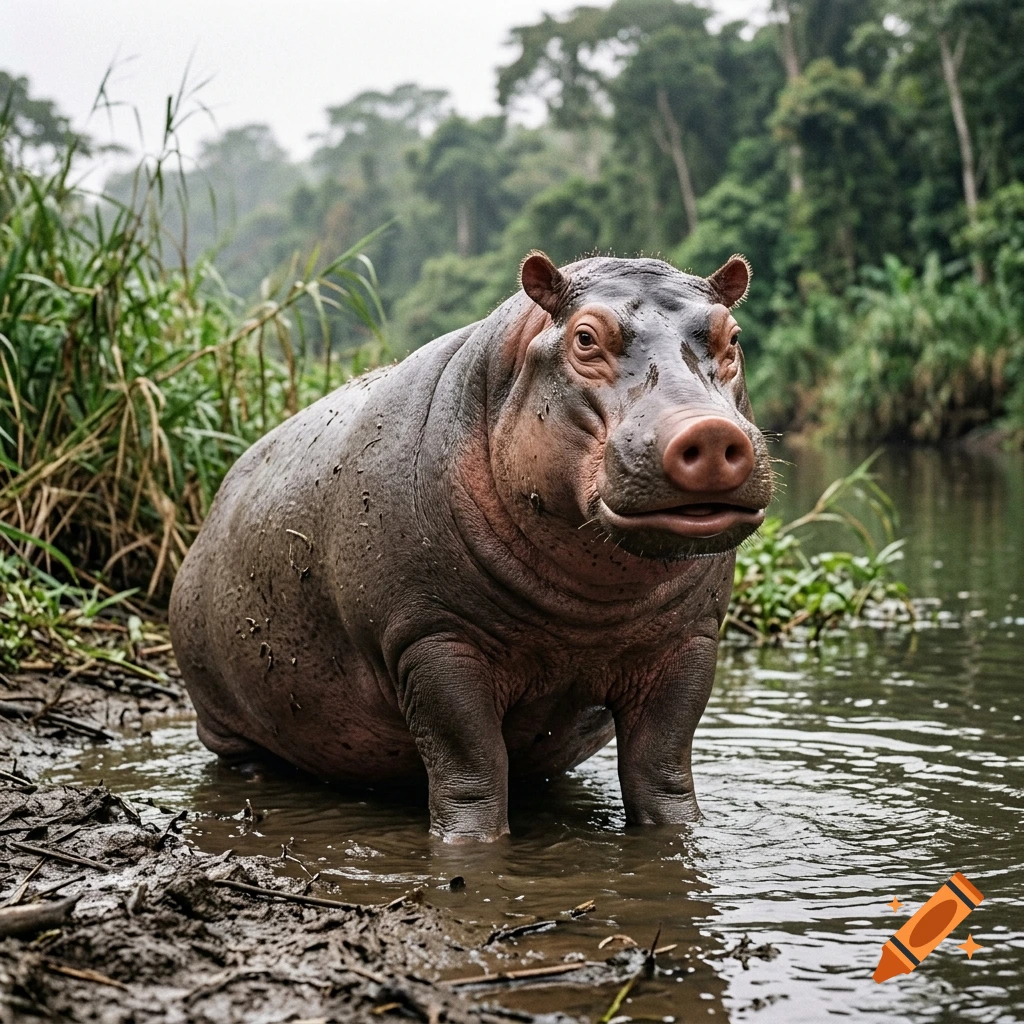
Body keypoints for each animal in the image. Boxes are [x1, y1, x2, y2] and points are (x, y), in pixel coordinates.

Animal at [169, 252, 774, 842]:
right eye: (584, 338)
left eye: (732, 335)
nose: (713, 432)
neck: (591, 602)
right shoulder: (432, 639)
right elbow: (472, 766)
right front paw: (469, 848)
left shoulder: (690, 641)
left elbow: (660, 766)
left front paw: (680, 836)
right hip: (222, 713)